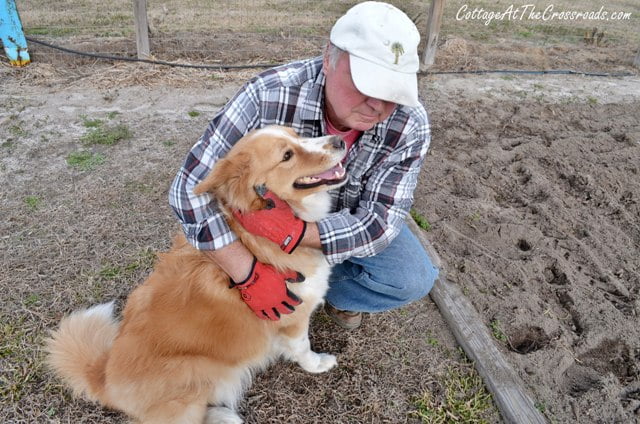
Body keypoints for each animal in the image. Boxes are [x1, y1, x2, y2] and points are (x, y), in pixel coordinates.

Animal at [47, 126, 348, 424]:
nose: (340, 140)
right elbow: (303, 347)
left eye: (298, 135)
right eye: (287, 155)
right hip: (192, 370)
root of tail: (105, 380)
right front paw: (318, 364)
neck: (255, 234)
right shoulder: (294, 316)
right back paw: (224, 416)